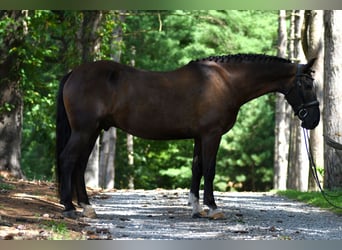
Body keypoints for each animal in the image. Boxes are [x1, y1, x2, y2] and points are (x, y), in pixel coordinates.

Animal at [56, 53, 320, 219]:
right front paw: (213, 208)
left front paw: (195, 208)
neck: (226, 81)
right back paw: (69, 207)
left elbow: (197, 169)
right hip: (84, 131)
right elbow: (210, 170)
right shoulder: (212, 135)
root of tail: (74, 73)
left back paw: (87, 207)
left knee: (79, 164)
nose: (313, 120)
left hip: (92, 132)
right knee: (68, 160)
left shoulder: (199, 137)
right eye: (307, 85)